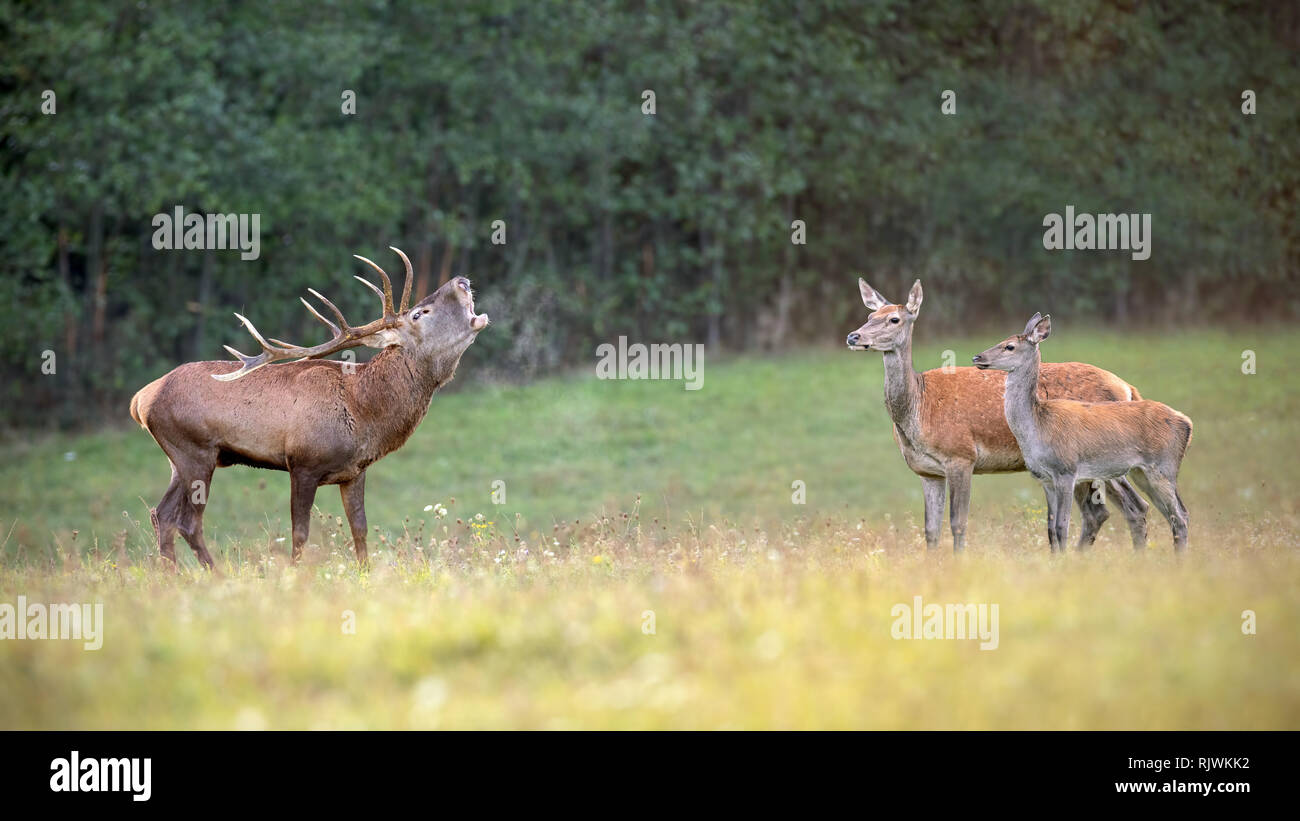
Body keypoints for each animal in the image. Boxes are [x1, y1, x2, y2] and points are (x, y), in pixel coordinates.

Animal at [842, 280, 1149, 550]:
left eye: (893, 319)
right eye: (870, 315)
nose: (853, 336)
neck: (919, 408)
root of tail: (1128, 388)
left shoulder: (961, 456)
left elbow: (958, 523)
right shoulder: (927, 471)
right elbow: (930, 530)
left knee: (1133, 507)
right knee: (1104, 512)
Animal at [977, 314, 1190, 550]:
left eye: (1009, 346)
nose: (978, 357)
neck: (1038, 425)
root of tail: (1186, 422)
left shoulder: (1067, 470)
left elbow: (1062, 526)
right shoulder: (1045, 478)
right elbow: (1051, 528)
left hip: (1163, 467)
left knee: (1180, 516)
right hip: (1141, 472)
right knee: (1172, 514)